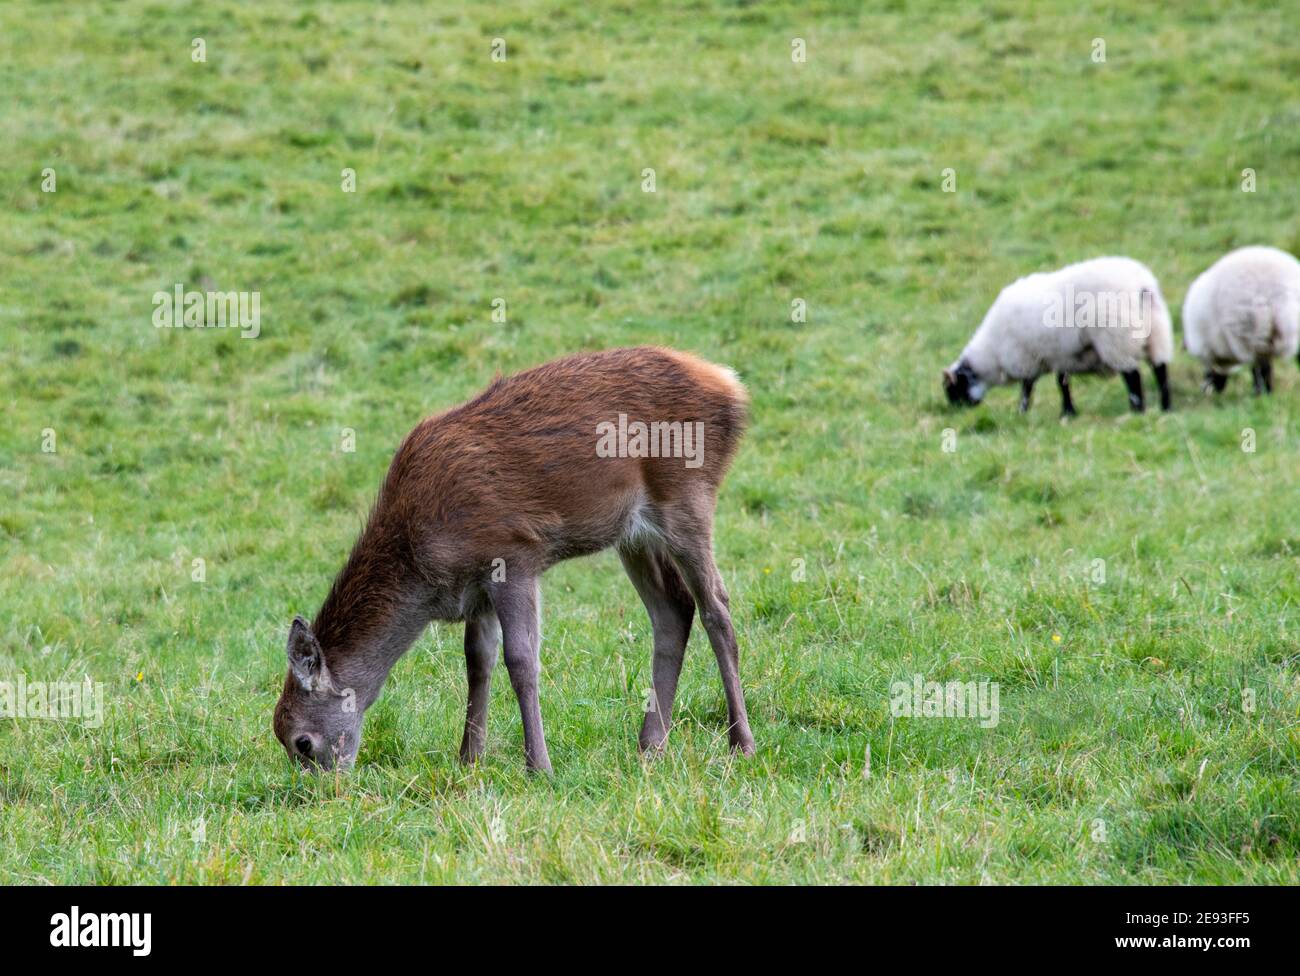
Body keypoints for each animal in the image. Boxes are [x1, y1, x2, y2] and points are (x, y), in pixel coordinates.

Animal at [946, 256, 1180, 415]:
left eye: (954, 390)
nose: (959, 413)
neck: (992, 353)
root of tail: (1142, 285)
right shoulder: (1061, 355)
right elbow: (1063, 383)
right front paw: (1068, 412)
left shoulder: (1026, 359)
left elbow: (1027, 387)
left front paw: (1022, 411)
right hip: (1157, 332)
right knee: (1160, 370)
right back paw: (1166, 408)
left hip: (1117, 337)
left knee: (1133, 375)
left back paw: (1137, 409)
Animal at [1185, 245, 1294, 395]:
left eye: (1203, 362)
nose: (1206, 389)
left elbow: (1259, 368)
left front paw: (1263, 392)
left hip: (1253, 330)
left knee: (1260, 365)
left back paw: (1259, 393)